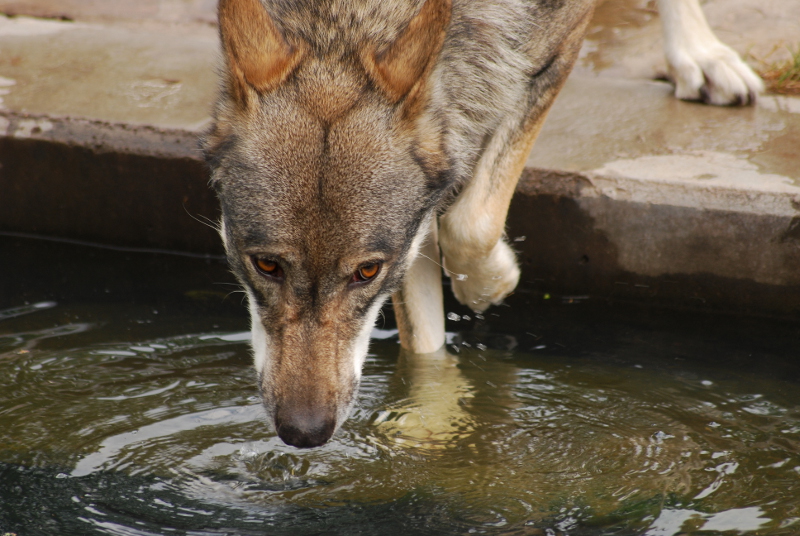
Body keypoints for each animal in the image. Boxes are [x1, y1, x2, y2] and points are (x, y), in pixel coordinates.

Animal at [202, 0, 762, 448]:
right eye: (266, 265)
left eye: (367, 272)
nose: (304, 433)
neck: (348, 18)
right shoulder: (423, 203)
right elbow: (425, 345)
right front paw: (432, 417)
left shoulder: (555, 44)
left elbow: (470, 224)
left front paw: (492, 283)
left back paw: (698, 55)